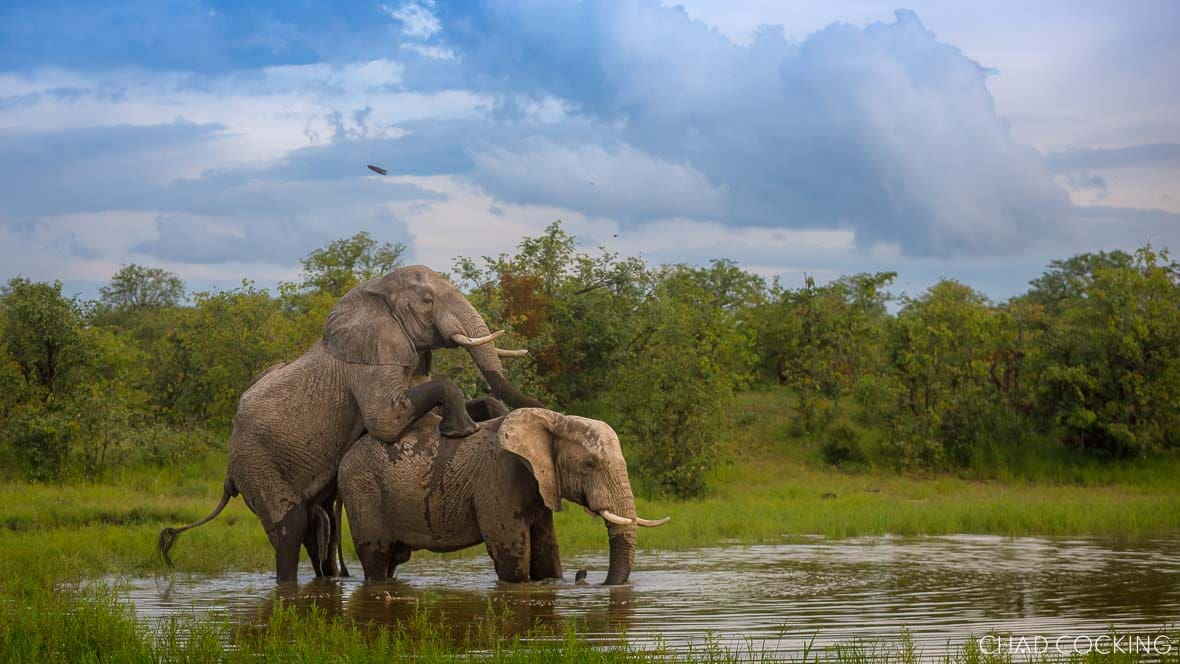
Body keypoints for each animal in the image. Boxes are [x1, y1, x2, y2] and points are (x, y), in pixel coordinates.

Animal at [158, 265, 542, 582]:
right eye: (427, 300)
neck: (378, 291)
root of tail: (228, 472)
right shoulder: (368, 365)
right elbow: (387, 421)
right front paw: (461, 431)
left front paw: (486, 415)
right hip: (256, 464)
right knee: (289, 527)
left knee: (316, 524)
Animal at [337, 407, 669, 585]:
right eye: (589, 464)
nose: (584, 574)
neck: (554, 420)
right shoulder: (498, 482)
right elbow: (514, 559)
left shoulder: (540, 486)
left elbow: (546, 553)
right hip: (362, 491)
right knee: (377, 557)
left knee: (393, 560)